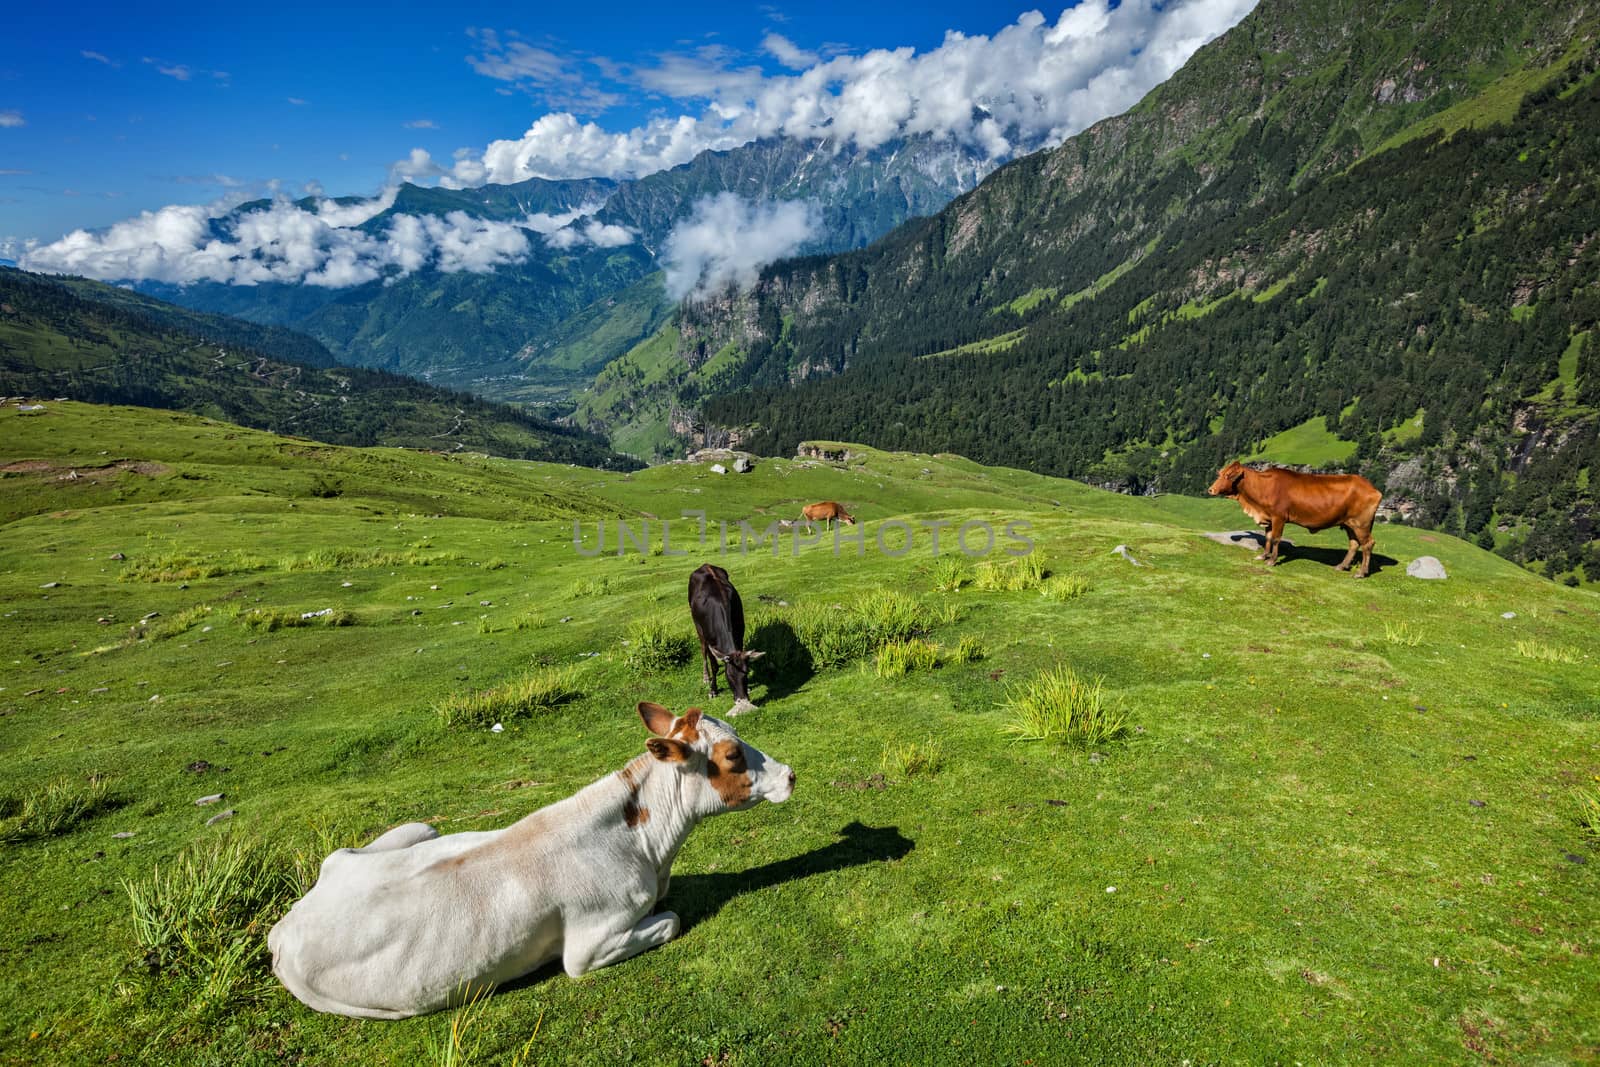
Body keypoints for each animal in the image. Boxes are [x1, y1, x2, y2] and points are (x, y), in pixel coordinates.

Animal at [267, 703, 793, 1023]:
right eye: (732, 754)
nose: (790, 774)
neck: (647, 850)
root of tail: (286, 925)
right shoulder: (586, 947)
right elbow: (672, 920)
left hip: (414, 830)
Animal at [684, 563, 764, 713]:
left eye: (746, 674)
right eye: (729, 677)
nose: (742, 699)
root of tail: (705, 565)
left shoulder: (740, 634)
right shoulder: (709, 640)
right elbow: (714, 666)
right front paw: (713, 690)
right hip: (698, 628)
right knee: (703, 651)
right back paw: (705, 677)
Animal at [1203, 460, 1382, 575]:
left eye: (1229, 476)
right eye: (1220, 473)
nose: (1211, 489)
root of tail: (1372, 488)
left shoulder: (1279, 517)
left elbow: (1276, 539)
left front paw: (1272, 560)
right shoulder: (1269, 518)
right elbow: (1268, 537)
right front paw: (1263, 556)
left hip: (1361, 524)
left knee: (1367, 544)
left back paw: (1361, 572)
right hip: (1350, 524)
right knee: (1354, 544)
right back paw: (1341, 566)